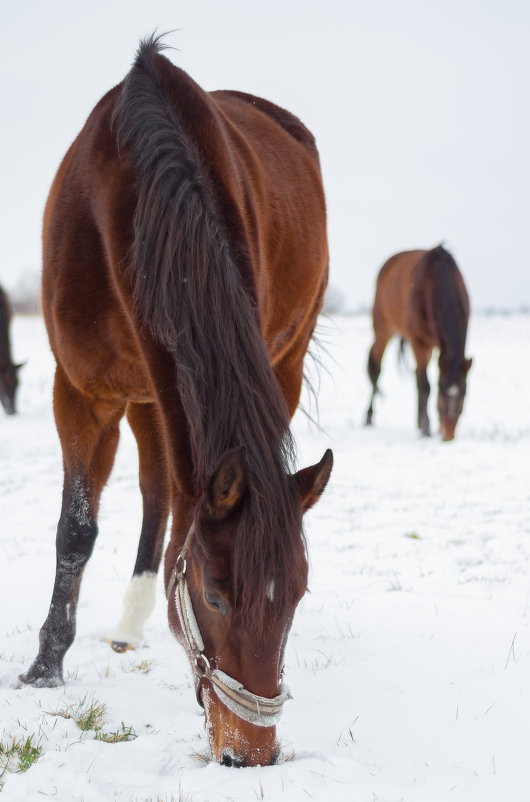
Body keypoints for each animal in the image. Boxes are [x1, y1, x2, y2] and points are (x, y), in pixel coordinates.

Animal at [22, 36, 334, 764]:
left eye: (297, 597)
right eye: (215, 597)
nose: (251, 755)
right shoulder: (80, 393)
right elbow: (76, 530)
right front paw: (45, 667)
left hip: (271, 365)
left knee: (164, 492)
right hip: (146, 398)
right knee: (159, 492)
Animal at [364, 245, 470, 440]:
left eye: (464, 395)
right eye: (441, 395)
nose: (448, 436)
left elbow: (424, 382)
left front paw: (427, 425)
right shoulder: (418, 342)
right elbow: (426, 386)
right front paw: (427, 428)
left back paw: (418, 422)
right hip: (383, 329)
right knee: (376, 368)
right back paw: (368, 417)